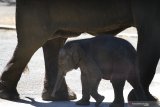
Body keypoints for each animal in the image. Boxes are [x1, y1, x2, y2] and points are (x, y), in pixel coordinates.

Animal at [0, 0, 160, 101]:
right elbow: (152, 33)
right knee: (31, 42)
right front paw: (144, 99)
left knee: (54, 40)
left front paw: (146, 99)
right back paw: (9, 96)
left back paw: (59, 97)